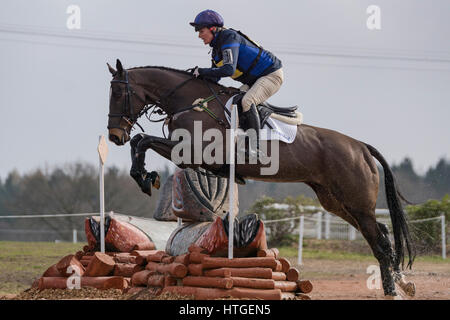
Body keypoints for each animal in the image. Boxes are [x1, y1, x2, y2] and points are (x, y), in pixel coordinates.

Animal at [105, 58, 414, 298]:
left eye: (118, 93)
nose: (115, 136)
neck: (190, 103)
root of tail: (361, 147)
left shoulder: (195, 154)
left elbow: (144, 139)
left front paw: (145, 177)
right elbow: (141, 141)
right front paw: (145, 176)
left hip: (356, 203)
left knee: (380, 242)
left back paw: (393, 290)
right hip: (336, 202)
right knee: (380, 234)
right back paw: (402, 283)